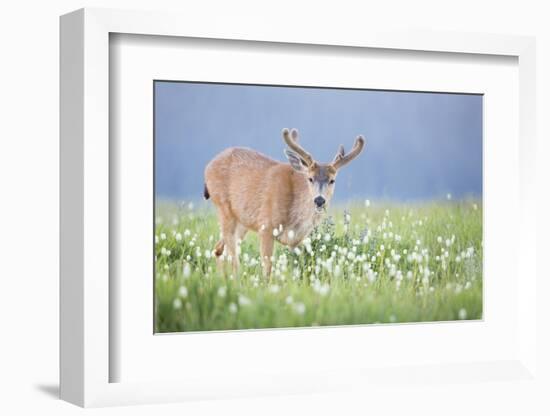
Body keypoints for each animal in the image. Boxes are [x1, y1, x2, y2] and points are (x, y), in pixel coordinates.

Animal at [204, 127, 366, 276]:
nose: (319, 200)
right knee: (232, 258)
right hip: (224, 208)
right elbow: (267, 270)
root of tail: (208, 167)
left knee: (219, 250)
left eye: (332, 180)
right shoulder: (266, 227)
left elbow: (296, 268)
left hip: (242, 221)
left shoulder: (297, 240)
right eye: (310, 178)